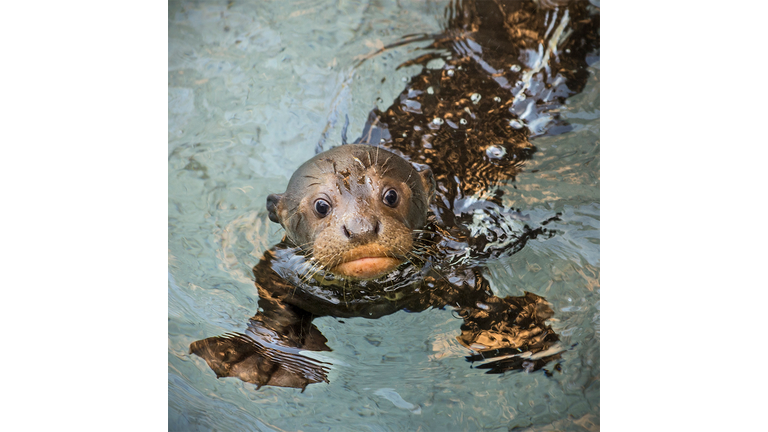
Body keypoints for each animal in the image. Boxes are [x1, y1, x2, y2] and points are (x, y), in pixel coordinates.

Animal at [189, 0, 596, 392]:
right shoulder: (282, 268)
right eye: (321, 205)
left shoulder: (454, 260)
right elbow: (273, 304)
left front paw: (512, 335)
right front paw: (256, 356)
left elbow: (476, 292)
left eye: (390, 196)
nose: (361, 228)